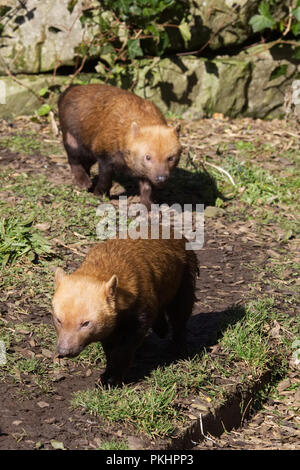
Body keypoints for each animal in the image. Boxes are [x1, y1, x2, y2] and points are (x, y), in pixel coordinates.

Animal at [51, 230, 197, 386]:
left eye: (85, 323)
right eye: (58, 320)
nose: (64, 351)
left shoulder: (141, 308)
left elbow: (126, 347)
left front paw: (112, 379)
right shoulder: (112, 326)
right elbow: (110, 347)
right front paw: (107, 376)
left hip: (185, 273)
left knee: (180, 314)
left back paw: (179, 347)